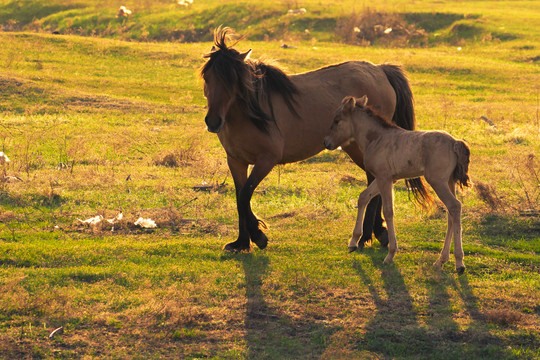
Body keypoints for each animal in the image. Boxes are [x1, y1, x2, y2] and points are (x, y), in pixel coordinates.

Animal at [200, 27, 420, 253]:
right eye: (207, 77)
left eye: (233, 80)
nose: (213, 121)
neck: (249, 114)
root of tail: (380, 70)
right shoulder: (236, 161)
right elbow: (239, 198)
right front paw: (242, 242)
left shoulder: (266, 161)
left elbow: (245, 196)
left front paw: (259, 236)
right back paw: (375, 232)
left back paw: (369, 234)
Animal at [322, 95, 470, 272]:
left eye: (337, 120)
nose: (326, 143)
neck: (377, 139)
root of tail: (454, 142)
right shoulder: (385, 178)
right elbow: (363, 197)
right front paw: (353, 242)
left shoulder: (384, 178)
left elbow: (388, 211)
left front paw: (390, 254)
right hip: (449, 181)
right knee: (450, 213)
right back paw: (441, 260)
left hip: (437, 180)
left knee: (454, 206)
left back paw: (459, 263)